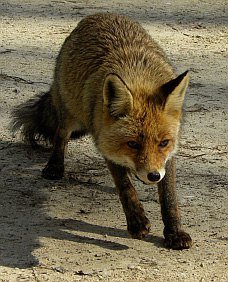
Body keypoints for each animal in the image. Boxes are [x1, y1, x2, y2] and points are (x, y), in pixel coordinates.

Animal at [11, 12, 191, 249]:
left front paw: (175, 232)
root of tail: (99, 15)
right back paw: (54, 166)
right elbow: (125, 188)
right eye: (132, 143)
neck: (137, 75)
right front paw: (136, 222)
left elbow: (169, 197)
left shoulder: (167, 158)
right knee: (61, 134)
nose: (153, 176)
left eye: (163, 143)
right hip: (72, 115)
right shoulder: (106, 144)